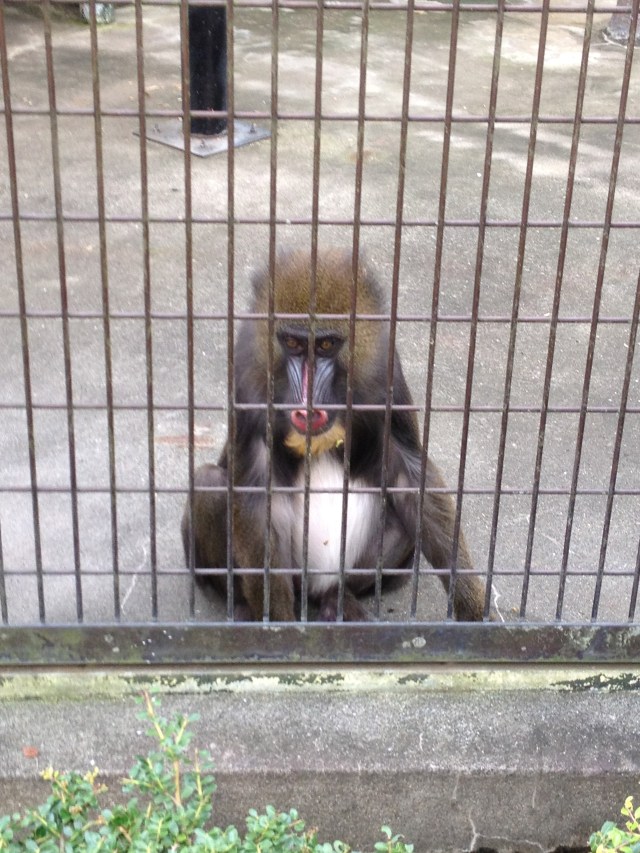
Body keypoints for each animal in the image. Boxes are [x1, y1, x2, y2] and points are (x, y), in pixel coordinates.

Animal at [182, 248, 489, 622]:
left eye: (327, 345)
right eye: (292, 343)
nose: (308, 406)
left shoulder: (388, 377)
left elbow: (413, 478)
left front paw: (475, 612)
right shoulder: (246, 382)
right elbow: (254, 499)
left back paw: (337, 601)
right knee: (210, 484)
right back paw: (244, 606)